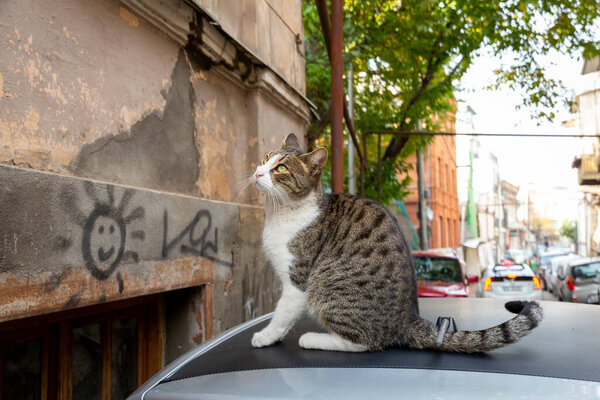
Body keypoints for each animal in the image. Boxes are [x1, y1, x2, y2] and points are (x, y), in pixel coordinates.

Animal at [250, 133, 544, 352]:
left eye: (280, 169)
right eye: (264, 159)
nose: (257, 173)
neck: (281, 213)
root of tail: (407, 318)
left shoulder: (296, 281)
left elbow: (282, 315)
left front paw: (265, 336)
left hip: (327, 290)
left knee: (364, 342)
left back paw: (314, 339)